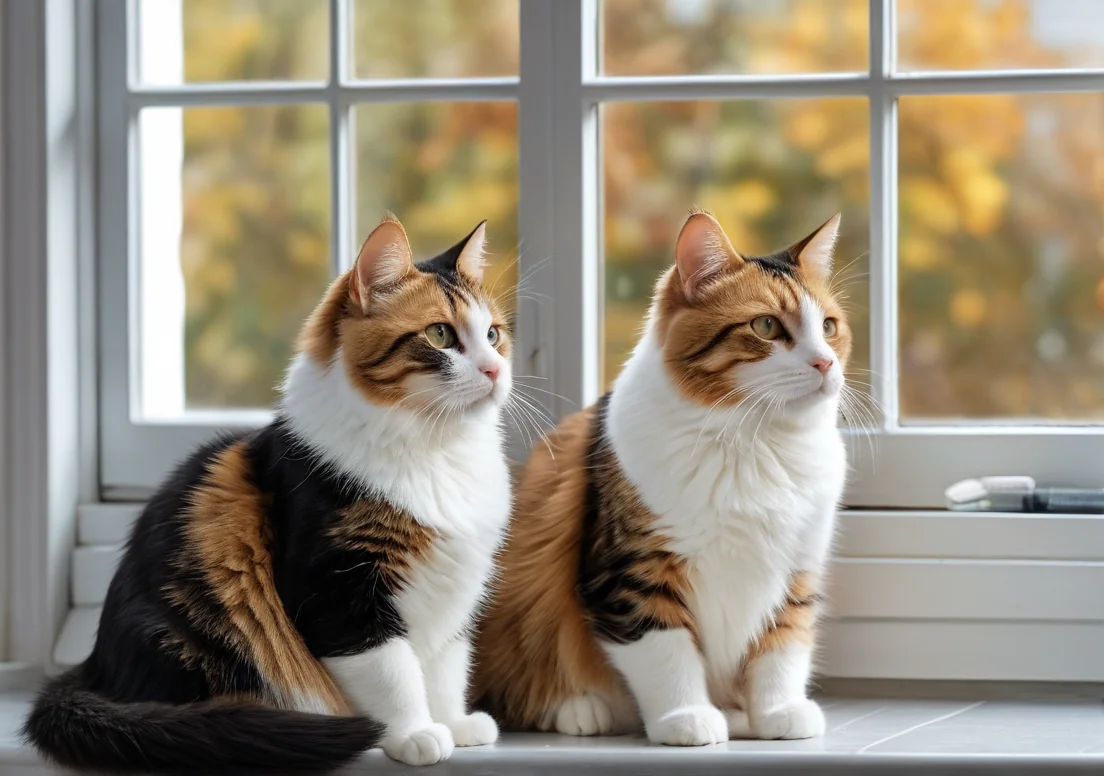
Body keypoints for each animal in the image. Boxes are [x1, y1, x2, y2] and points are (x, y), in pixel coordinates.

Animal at [21, 214, 512, 772]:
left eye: (493, 335)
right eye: (440, 334)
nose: (496, 370)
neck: (437, 450)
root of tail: (93, 667)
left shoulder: (457, 588)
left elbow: (448, 665)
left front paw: (454, 722)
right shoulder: (337, 588)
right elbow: (393, 672)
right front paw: (416, 733)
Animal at [476, 210, 852, 746]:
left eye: (828, 326)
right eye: (766, 326)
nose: (826, 362)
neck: (755, 444)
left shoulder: (797, 567)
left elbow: (783, 649)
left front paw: (778, 713)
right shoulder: (634, 573)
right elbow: (668, 656)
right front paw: (687, 718)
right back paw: (582, 709)